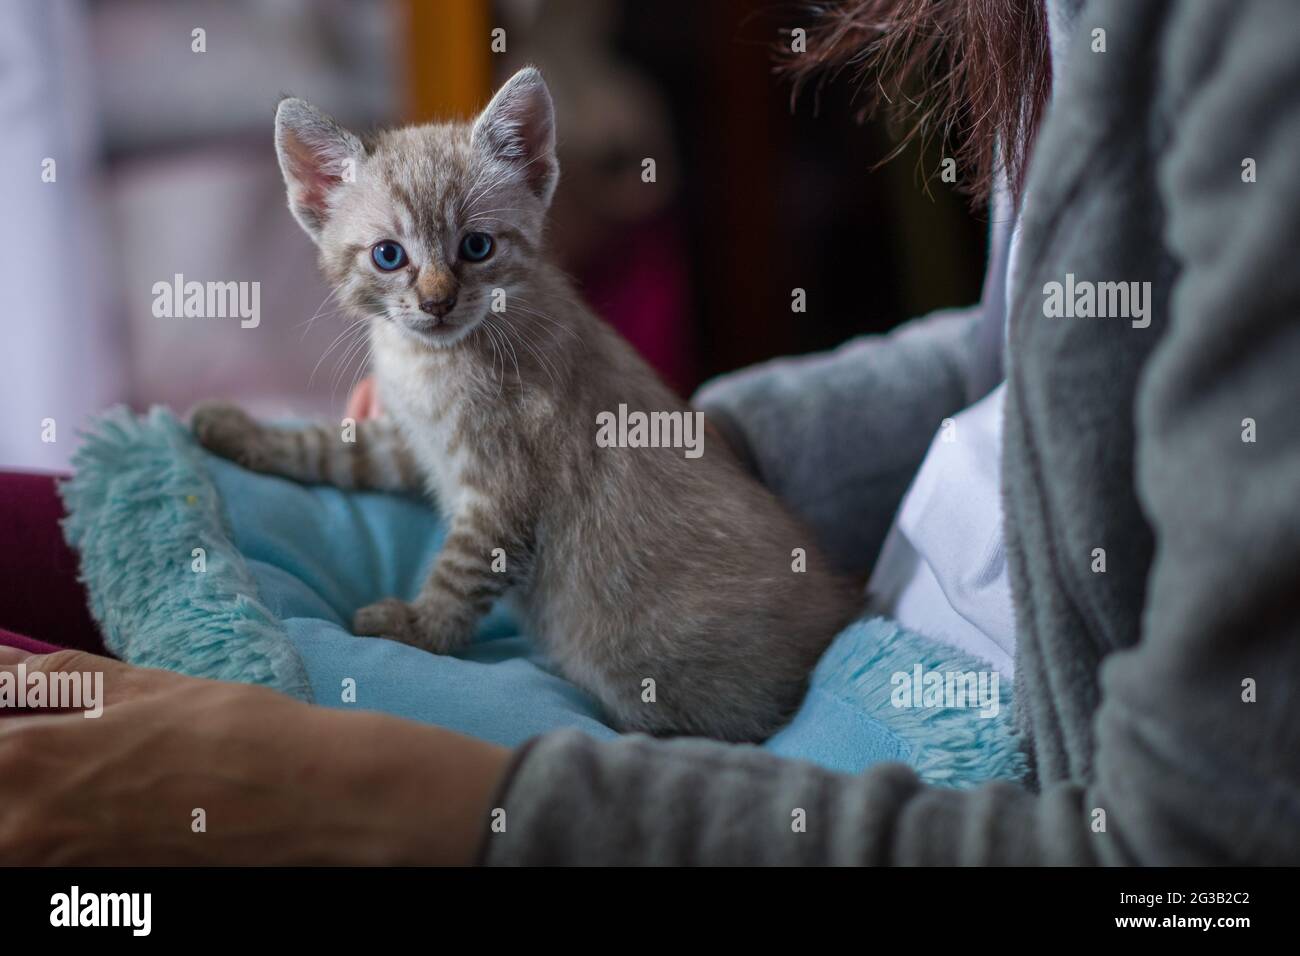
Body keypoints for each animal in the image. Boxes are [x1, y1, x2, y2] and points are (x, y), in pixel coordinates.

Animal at [192, 69, 857, 738]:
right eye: (388, 255)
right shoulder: (413, 443)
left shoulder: (503, 496)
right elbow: (330, 447)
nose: (436, 302)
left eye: (476, 247)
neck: (427, 361)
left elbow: (458, 577)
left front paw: (416, 630)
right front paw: (237, 430)